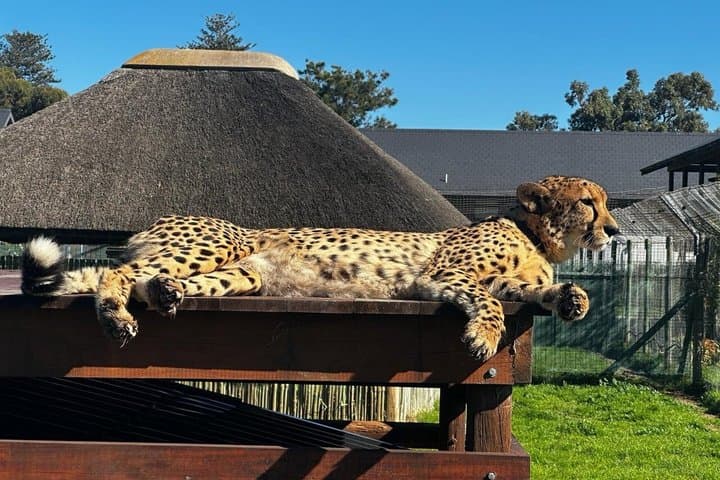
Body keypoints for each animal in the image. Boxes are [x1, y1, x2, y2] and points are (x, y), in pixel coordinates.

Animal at [21, 175, 621, 361]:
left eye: (604, 203)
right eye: (588, 202)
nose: (614, 230)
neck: (537, 239)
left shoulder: (498, 278)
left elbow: (528, 292)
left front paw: (572, 299)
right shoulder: (445, 276)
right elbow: (492, 300)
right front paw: (483, 337)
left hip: (245, 273)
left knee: (151, 280)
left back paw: (166, 293)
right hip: (216, 244)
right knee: (113, 275)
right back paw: (116, 317)